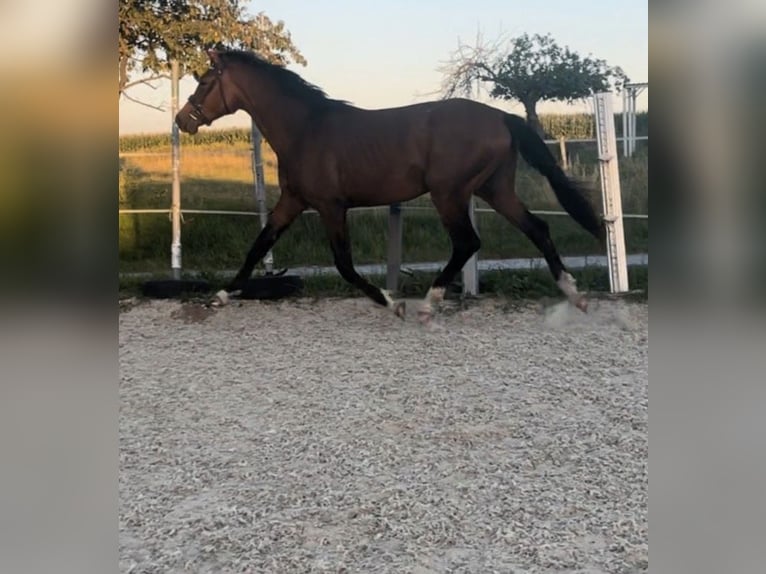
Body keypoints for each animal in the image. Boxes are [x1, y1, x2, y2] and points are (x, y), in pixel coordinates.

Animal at [175, 48, 606, 320]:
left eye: (204, 81)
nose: (183, 120)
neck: (305, 129)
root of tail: (501, 116)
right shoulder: (292, 201)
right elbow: (257, 247)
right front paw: (218, 297)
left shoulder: (331, 206)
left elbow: (345, 265)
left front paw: (391, 302)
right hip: (494, 189)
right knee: (538, 227)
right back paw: (574, 294)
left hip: (449, 193)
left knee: (468, 242)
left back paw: (428, 304)